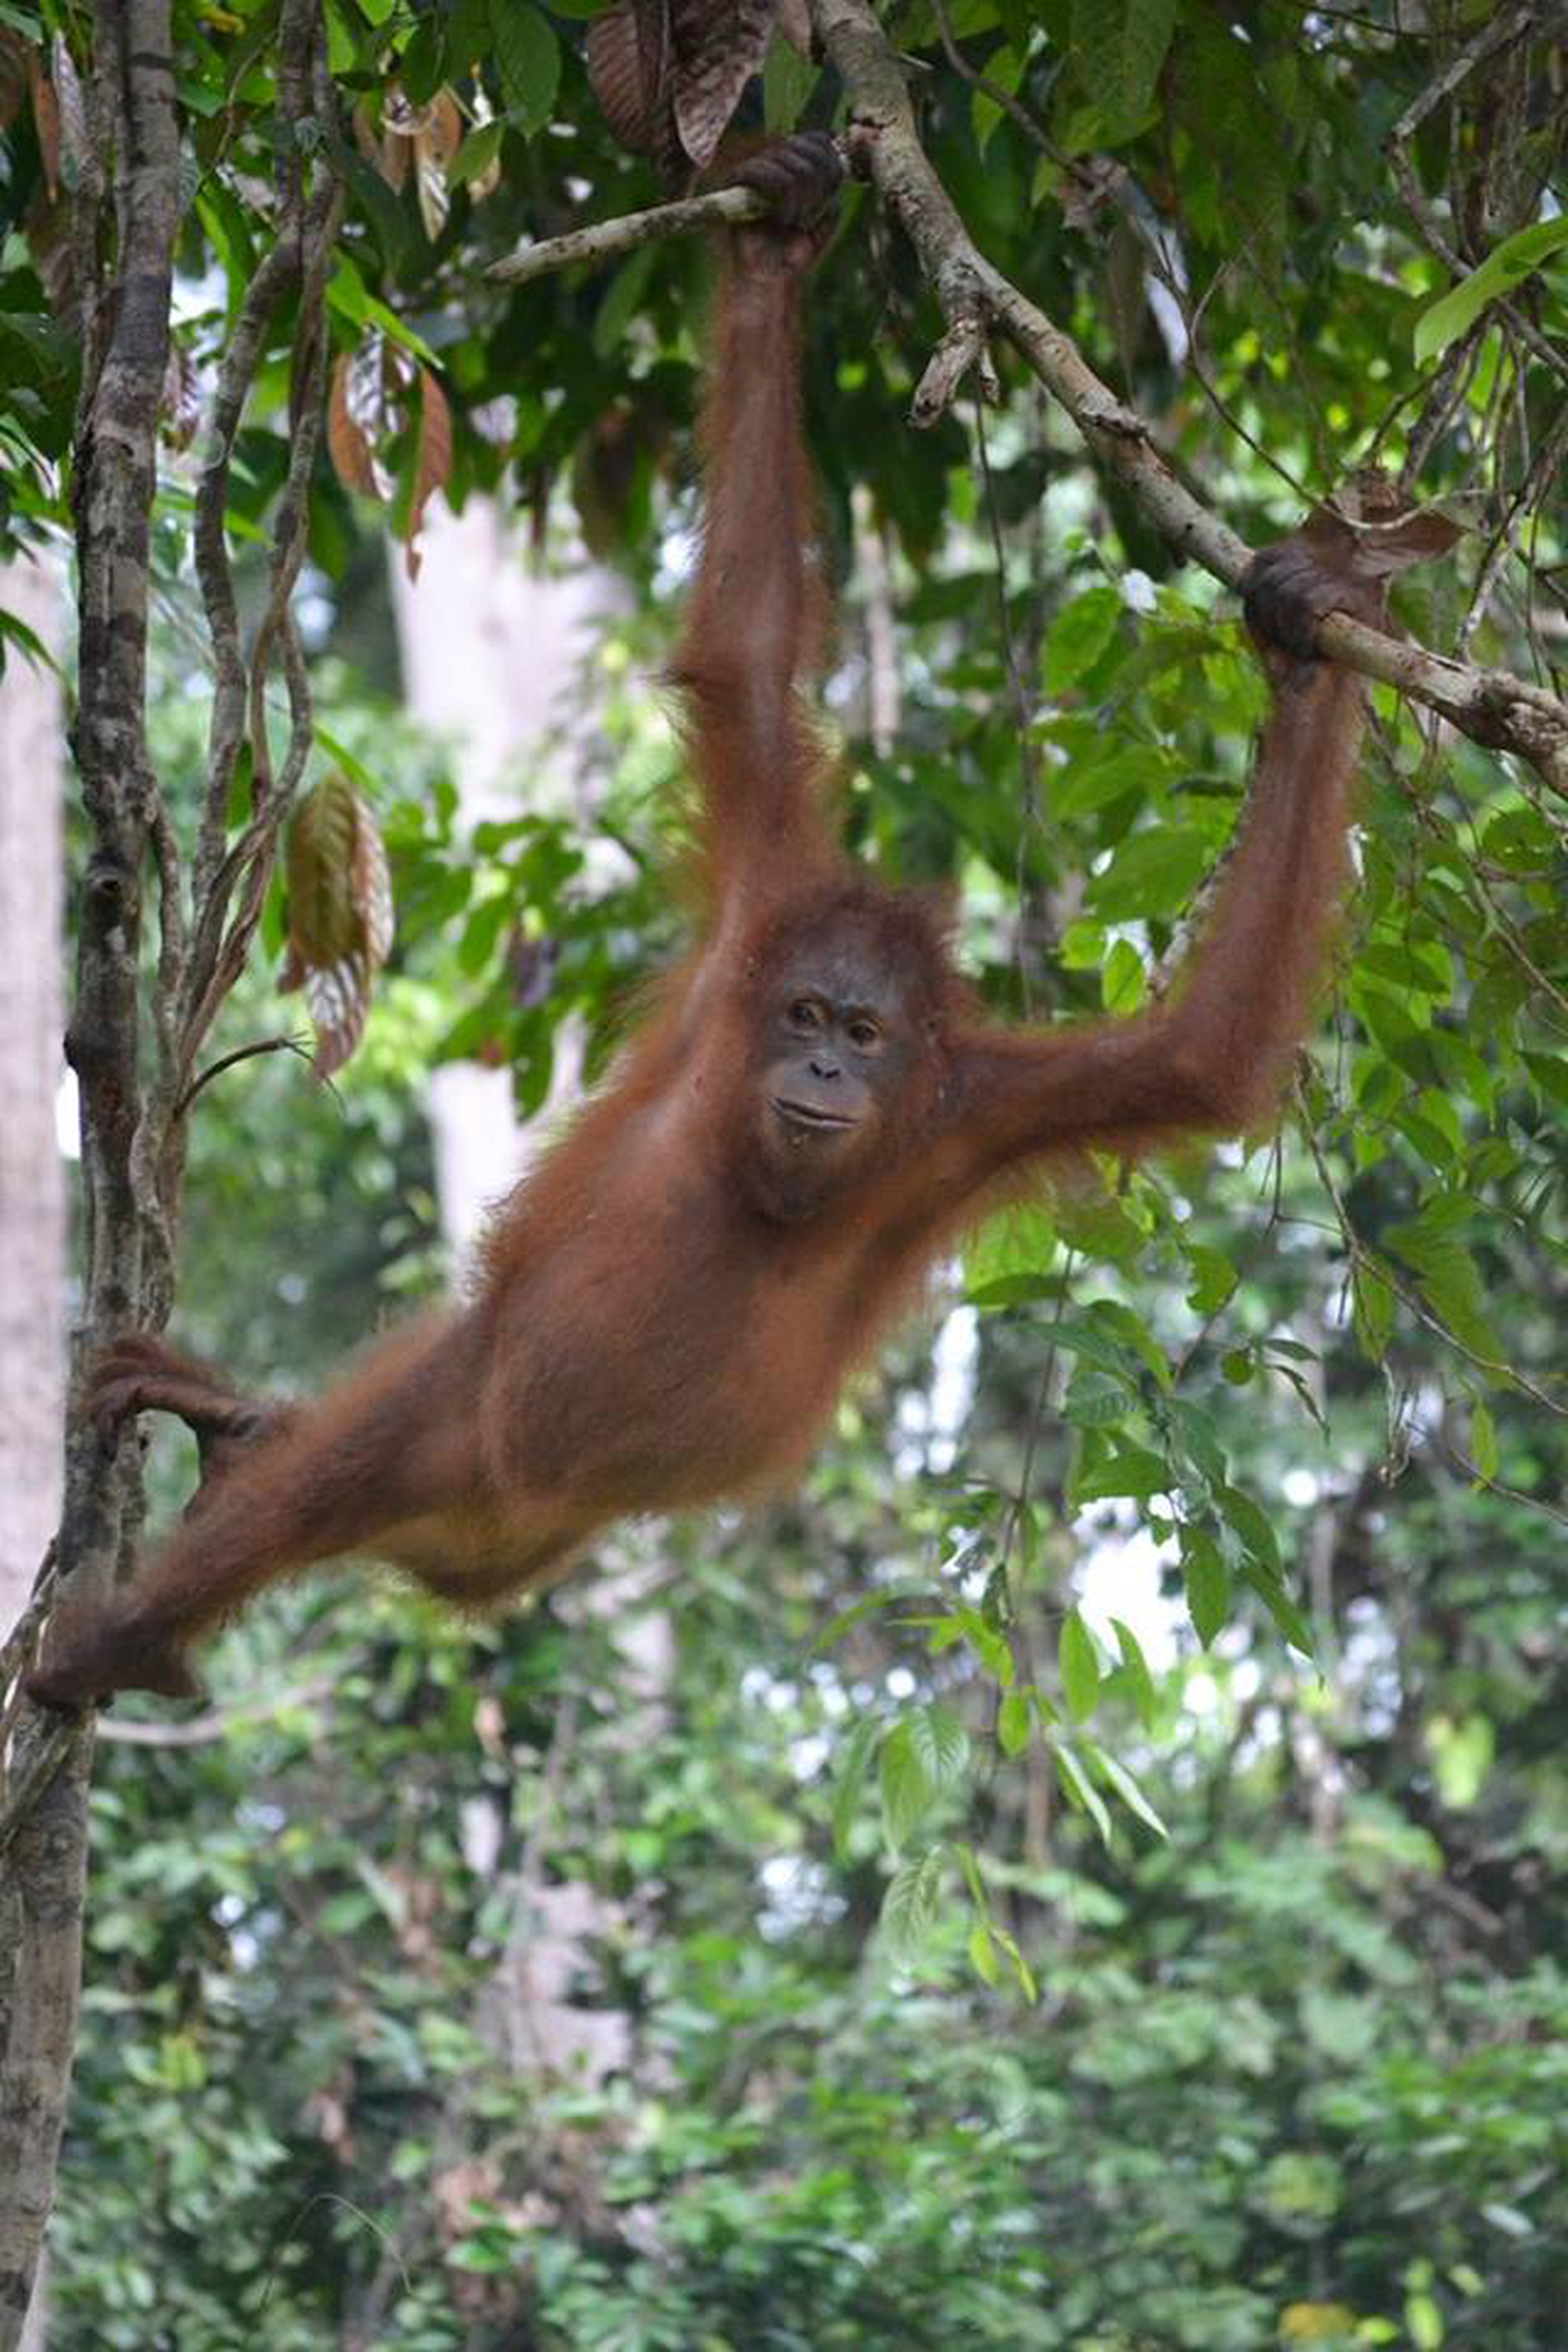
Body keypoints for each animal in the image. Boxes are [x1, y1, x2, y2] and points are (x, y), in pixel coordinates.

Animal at [28, 134, 1445, 1711]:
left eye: (867, 1035)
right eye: (805, 1016)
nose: (821, 1067)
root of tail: (497, 1516)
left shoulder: (983, 1106)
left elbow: (1212, 1049)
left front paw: (1315, 642)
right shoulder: (767, 899)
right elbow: (752, 663)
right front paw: (778, 247)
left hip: (498, 1523)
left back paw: (226, 1465)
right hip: (467, 1415)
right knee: (338, 1473)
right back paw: (147, 1603)